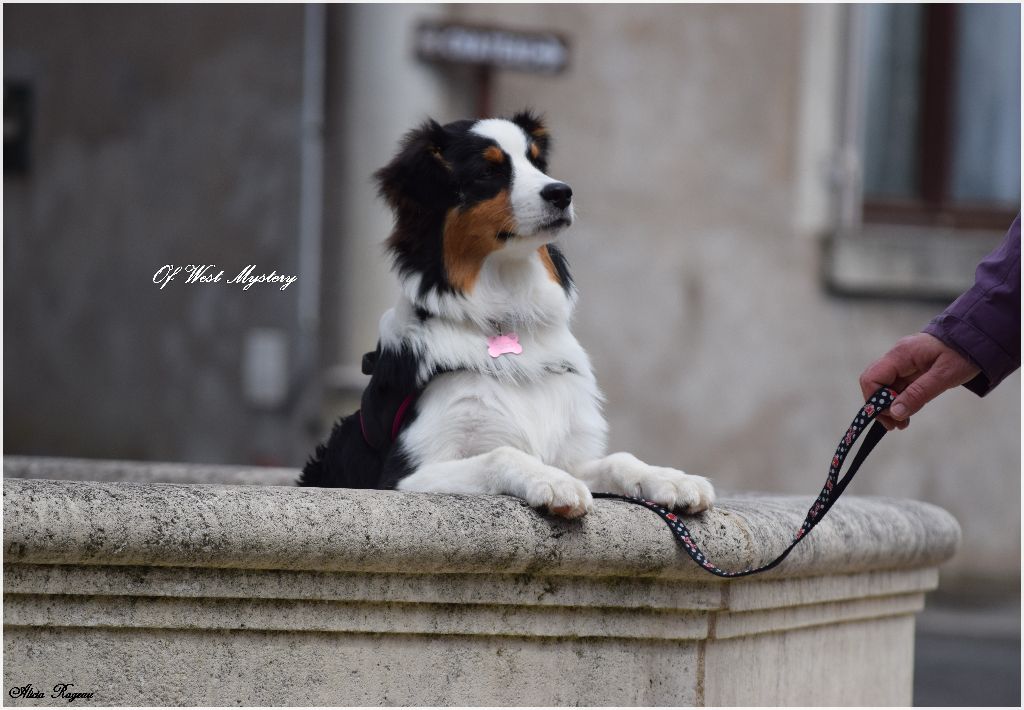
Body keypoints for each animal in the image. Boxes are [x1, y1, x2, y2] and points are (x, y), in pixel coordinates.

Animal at [301, 112, 712, 514]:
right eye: (488, 171)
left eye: (537, 163)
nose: (562, 192)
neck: (506, 311)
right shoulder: (402, 475)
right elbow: (503, 453)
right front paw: (554, 482)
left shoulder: (572, 452)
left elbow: (619, 459)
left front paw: (672, 479)